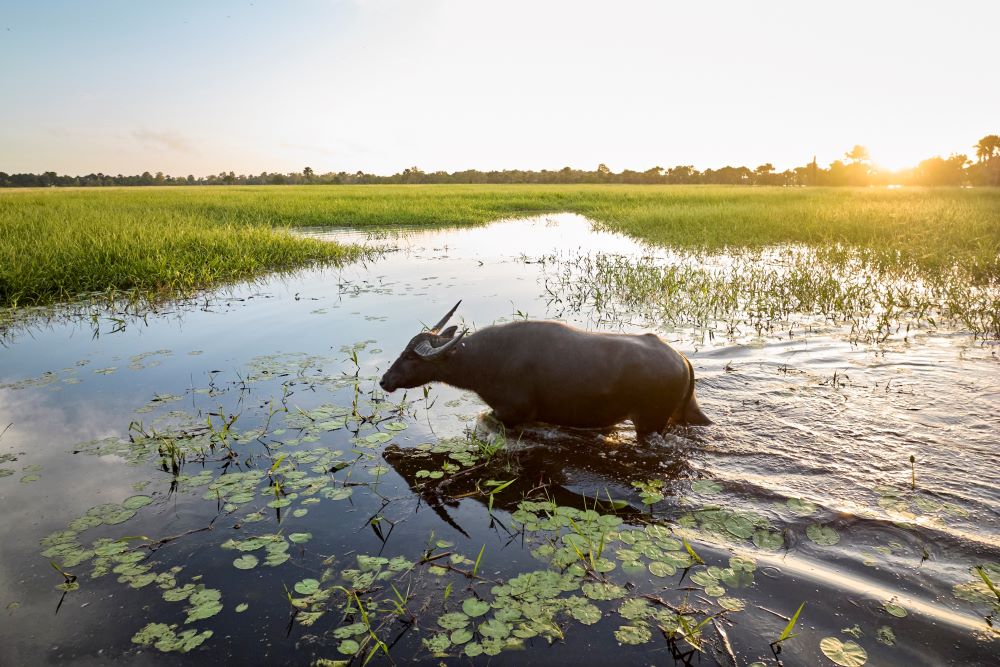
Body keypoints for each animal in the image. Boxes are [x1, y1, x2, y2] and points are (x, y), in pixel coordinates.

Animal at [376, 302, 712, 438]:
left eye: (410, 357)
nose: (384, 380)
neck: (487, 360)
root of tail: (682, 360)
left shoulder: (512, 413)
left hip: (649, 423)